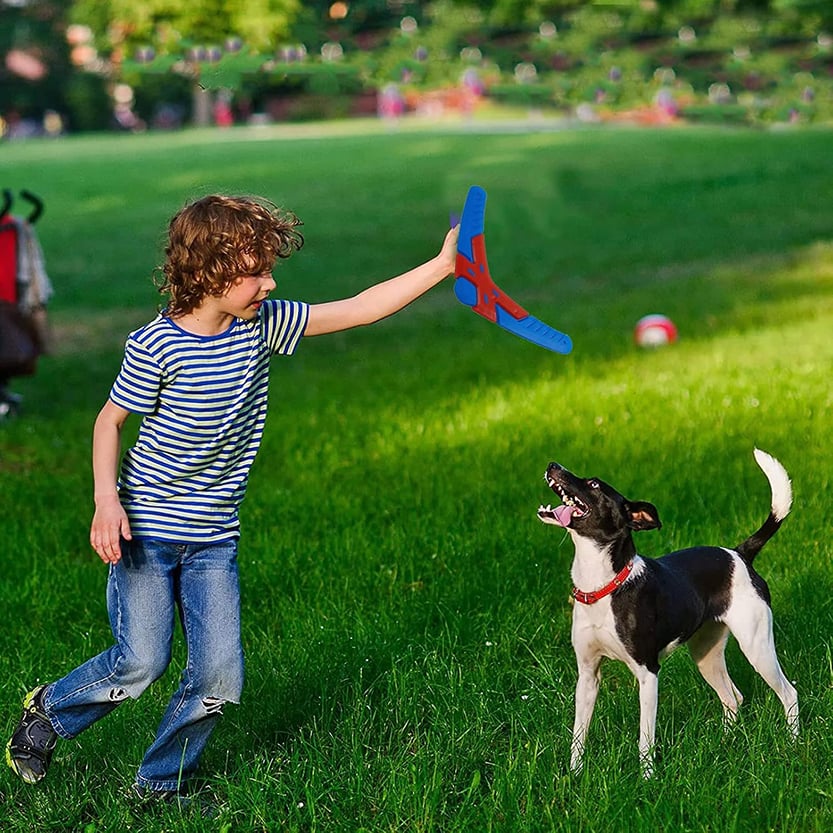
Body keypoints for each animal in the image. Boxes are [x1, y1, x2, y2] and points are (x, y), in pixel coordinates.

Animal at [536, 446, 796, 776]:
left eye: (593, 484)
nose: (552, 464)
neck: (606, 584)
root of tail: (740, 554)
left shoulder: (648, 674)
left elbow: (645, 737)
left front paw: (647, 777)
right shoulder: (587, 675)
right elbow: (578, 734)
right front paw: (574, 773)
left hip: (757, 648)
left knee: (788, 693)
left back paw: (794, 744)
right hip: (706, 655)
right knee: (733, 698)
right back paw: (724, 744)